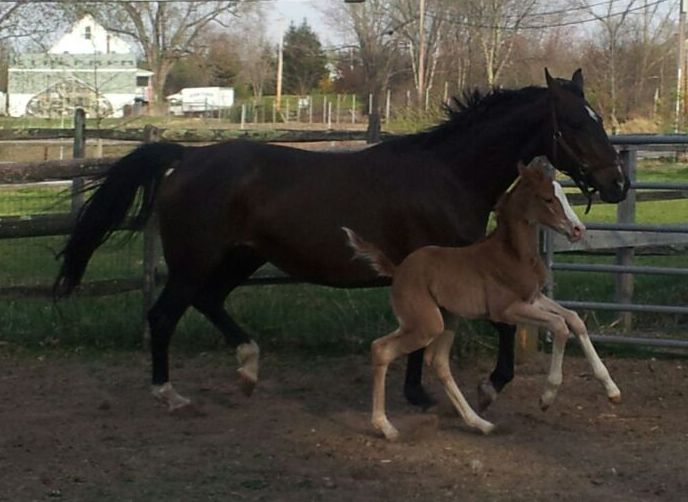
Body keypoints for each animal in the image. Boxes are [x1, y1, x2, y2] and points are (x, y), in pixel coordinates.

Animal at [55, 68, 628, 410]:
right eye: (576, 122)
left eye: (598, 117)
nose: (618, 184)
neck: (449, 176)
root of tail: (185, 158)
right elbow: (492, 329)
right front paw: (480, 388)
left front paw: (421, 393)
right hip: (196, 260)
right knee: (164, 315)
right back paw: (169, 392)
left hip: (240, 258)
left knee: (209, 302)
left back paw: (248, 369)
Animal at [346, 159, 620, 442]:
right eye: (547, 199)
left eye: (564, 196)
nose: (578, 230)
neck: (512, 254)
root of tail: (398, 269)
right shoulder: (507, 310)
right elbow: (559, 326)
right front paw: (547, 397)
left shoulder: (533, 299)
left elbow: (574, 320)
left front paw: (612, 391)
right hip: (426, 323)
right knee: (382, 349)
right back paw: (386, 427)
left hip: (445, 319)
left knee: (437, 361)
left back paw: (481, 424)